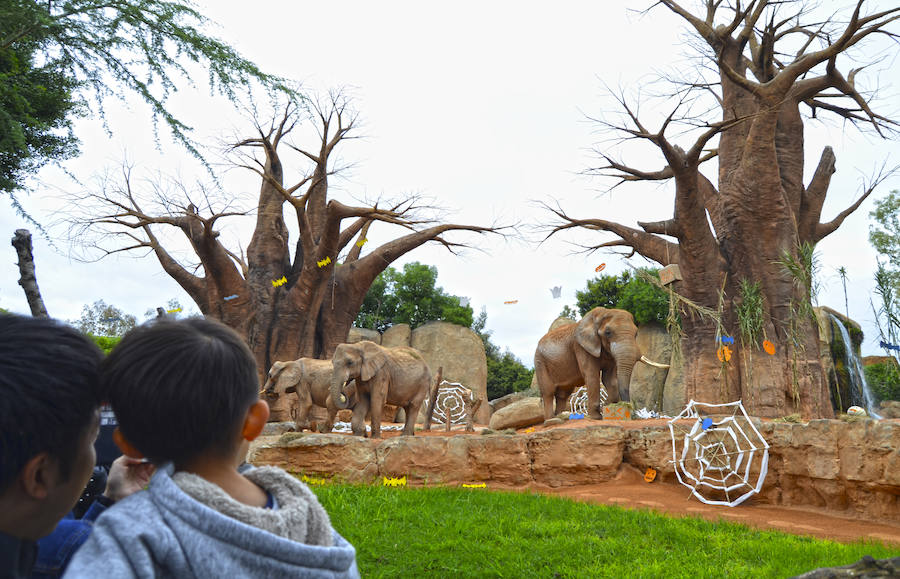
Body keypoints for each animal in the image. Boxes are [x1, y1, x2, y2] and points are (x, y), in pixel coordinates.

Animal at [536, 308, 668, 422]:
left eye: (636, 334)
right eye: (608, 333)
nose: (628, 406)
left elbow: (609, 379)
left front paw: (607, 405)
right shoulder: (581, 348)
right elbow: (592, 376)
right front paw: (596, 417)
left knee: (563, 394)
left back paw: (560, 416)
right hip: (540, 363)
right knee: (548, 392)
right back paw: (551, 420)